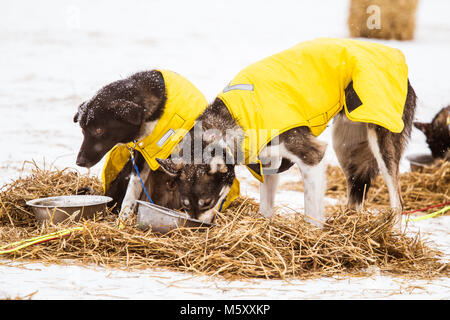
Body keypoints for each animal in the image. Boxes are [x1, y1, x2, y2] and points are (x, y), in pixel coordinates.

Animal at [73, 70, 180, 215]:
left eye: (99, 130)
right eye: (82, 130)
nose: (79, 162)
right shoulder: (140, 159)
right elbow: (131, 191)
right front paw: (124, 216)